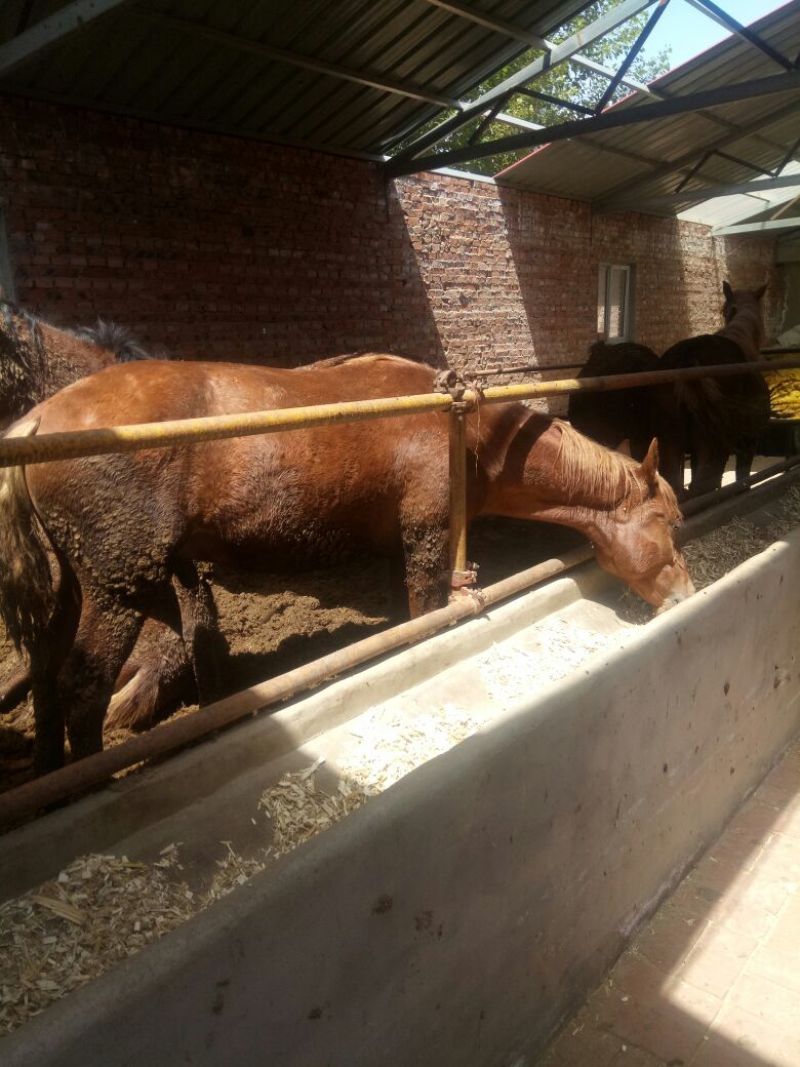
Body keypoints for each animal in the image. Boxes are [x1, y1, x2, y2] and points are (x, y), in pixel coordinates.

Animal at [0, 353, 694, 774]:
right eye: (671, 522)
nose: (685, 594)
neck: (469, 434)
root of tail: (35, 423)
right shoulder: (427, 539)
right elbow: (426, 615)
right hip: (120, 587)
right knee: (82, 688)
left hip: (72, 590)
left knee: (45, 679)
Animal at [652, 282, 770, 497]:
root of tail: (689, 355)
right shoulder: (748, 442)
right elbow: (742, 480)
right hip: (713, 448)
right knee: (701, 487)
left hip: (670, 445)